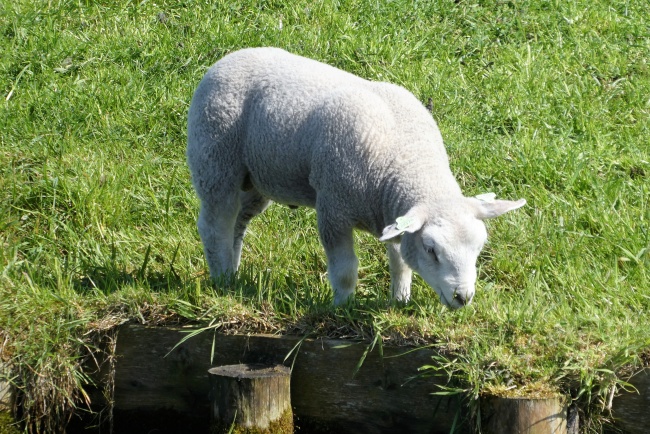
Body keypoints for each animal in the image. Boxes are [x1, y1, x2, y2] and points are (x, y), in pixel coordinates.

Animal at [185, 48, 524, 308]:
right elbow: (345, 268)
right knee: (215, 225)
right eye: (432, 250)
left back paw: (233, 272)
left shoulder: (392, 213)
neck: (405, 159)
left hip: (257, 178)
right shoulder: (333, 208)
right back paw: (222, 279)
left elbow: (400, 260)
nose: (462, 297)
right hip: (215, 159)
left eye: (479, 248)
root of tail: (226, 59)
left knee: (237, 224)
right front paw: (342, 306)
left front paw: (400, 300)